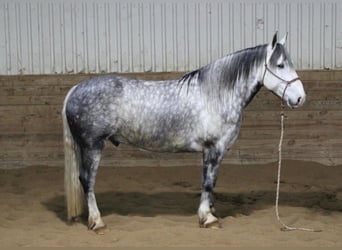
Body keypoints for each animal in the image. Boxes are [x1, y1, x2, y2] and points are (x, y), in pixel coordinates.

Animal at [62, 32, 306, 233]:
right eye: (280, 65)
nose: (300, 98)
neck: (215, 95)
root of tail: (75, 89)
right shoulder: (213, 149)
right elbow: (207, 183)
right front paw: (208, 219)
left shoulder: (213, 152)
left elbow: (211, 182)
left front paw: (211, 212)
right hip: (92, 146)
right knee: (87, 180)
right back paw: (97, 222)